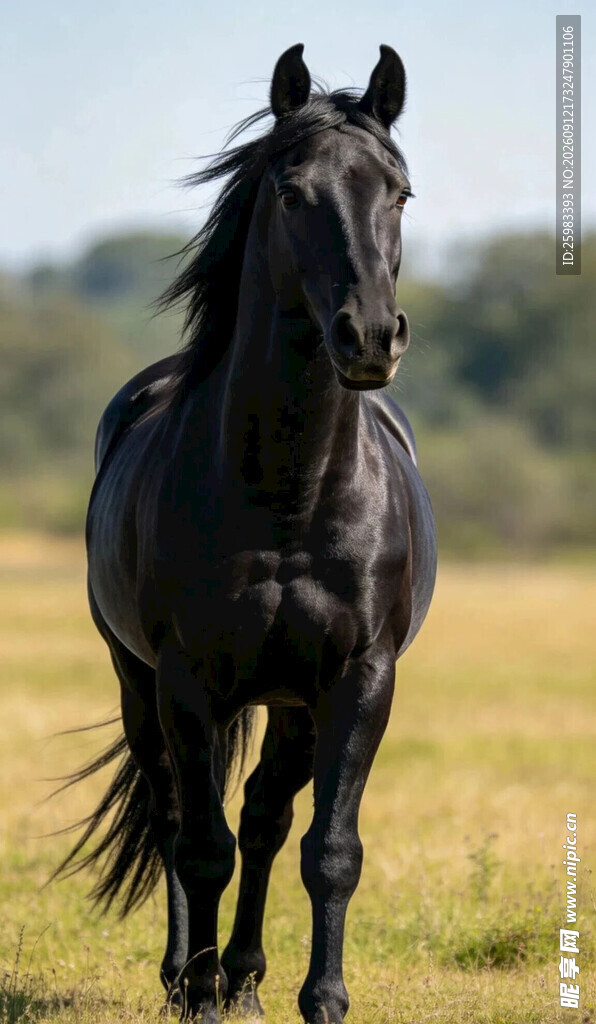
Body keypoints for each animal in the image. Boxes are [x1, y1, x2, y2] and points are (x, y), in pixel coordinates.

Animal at [56, 43, 437, 1024]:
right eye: (293, 193)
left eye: (400, 192)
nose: (369, 336)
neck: (289, 498)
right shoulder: (187, 681)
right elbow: (200, 846)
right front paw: (195, 995)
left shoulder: (359, 681)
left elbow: (328, 849)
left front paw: (322, 999)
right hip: (139, 684)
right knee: (173, 817)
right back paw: (189, 975)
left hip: (291, 703)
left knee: (267, 817)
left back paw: (248, 978)